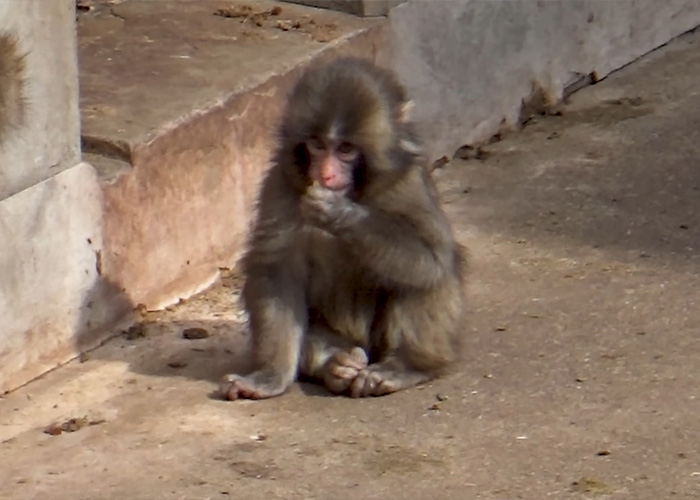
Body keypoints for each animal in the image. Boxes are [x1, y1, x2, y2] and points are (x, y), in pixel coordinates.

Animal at [220, 57, 466, 400]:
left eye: (346, 149)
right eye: (318, 144)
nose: (325, 173)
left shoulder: (408, 183)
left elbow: (431, 255)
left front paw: (338, 213)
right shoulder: (280, 185)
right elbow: (277, 270)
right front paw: (268, 376)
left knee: (426, 276)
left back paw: (406, 366)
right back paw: (334, 364)